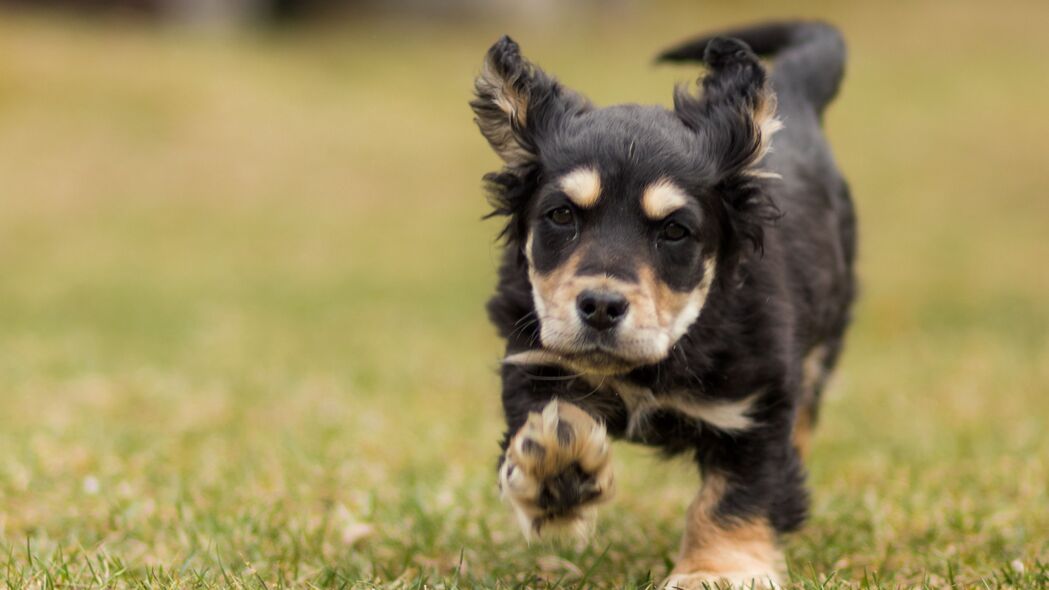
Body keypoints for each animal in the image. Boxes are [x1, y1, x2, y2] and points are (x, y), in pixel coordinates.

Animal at [472, 20, 855, 583]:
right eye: (562, 216)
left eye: (675, 230)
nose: (601, 306)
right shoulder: (534, 356)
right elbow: (537, 423)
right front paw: (557, 462)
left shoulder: (758, 402)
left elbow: (739, 492)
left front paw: (717, 570)